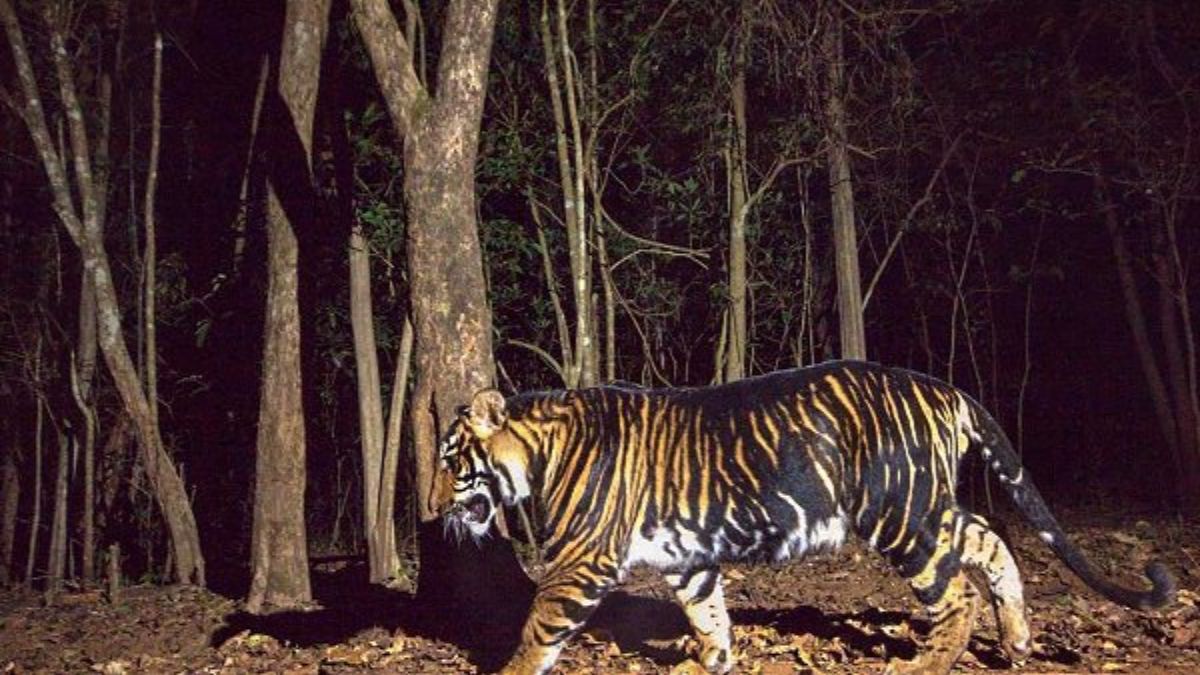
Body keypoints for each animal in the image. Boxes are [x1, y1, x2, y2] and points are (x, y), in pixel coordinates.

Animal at [433, 360, 1175, 675]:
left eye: (451, 460)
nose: (433, 507)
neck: (539, 454)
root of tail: (946, 388)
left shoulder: (580, 562)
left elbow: (537, 631)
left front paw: (509, 672)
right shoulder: (686, 556)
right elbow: (707, 612)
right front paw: (711, 661)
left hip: (899, 515)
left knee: (956, 591)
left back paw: (923, 665)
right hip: (928, 506)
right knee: (993, 543)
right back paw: (1017, 639)